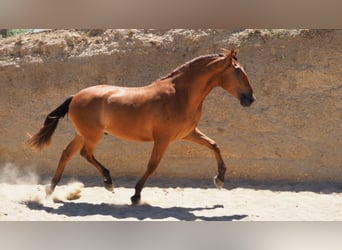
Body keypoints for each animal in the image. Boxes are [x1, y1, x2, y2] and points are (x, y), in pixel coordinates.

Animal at [26, 47, 254, 204]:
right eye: (238, 71)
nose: (250, 99)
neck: (180, 94)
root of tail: (75, 96)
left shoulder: (188, 133)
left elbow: (214, 145)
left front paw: (220, 179)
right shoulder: (163, 139)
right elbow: (152, 165)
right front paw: (135, 195)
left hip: (82, 134)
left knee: (67, 153)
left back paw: (50, 190)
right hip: (92, 135)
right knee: (85, 154)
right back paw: (108, 182)